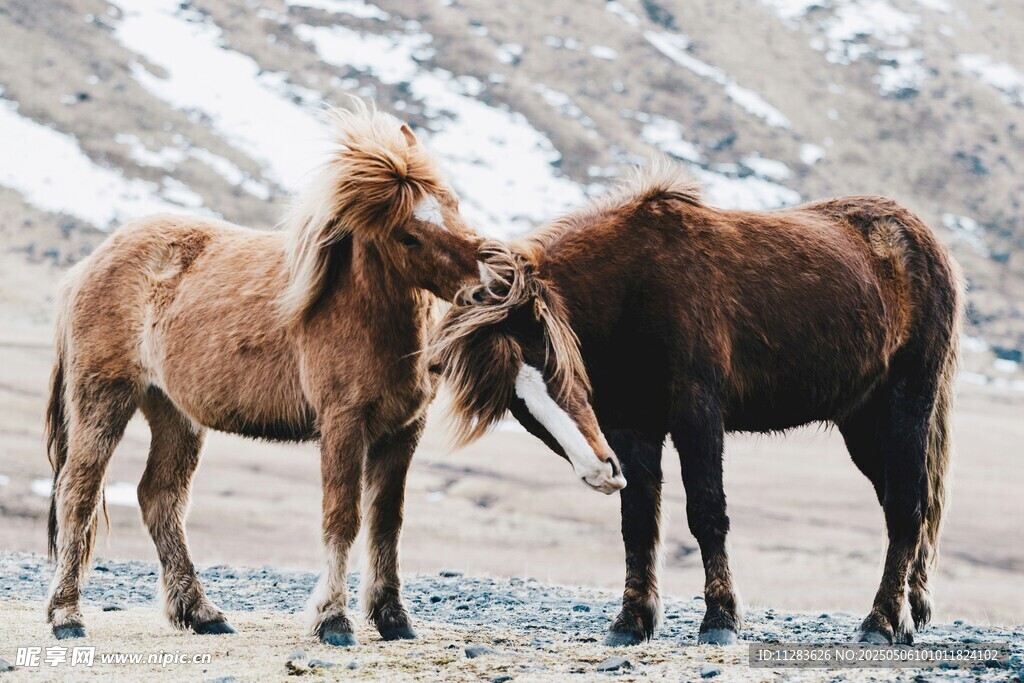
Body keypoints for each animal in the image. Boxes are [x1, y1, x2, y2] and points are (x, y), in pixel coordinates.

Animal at [43, 105, 489, 646]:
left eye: (452, 203)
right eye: (408, 233)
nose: (492, 281)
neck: (359, 308)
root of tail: (87, 265)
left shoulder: (403, 431)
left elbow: (387, 522)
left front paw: (393, 618)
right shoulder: (343, 424)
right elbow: (342, 518)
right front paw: (333, 620)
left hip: (173, 411)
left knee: (159, 497)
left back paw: (202, 613)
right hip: (104, 398)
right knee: (78, 493)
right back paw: (67, 617)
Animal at [429, 160, 963, 647]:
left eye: (553, 362)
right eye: (515, 403)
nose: (599, 472)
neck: (634, 286)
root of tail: (924, 241)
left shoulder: (697, 414)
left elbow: (706, 512)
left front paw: (720, 619)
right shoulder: (630, 427)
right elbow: (638, 522)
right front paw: (631, 621)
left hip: (905, 405)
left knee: (907, 507)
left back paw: (881, 622)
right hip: (862, 424)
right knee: (904, 506)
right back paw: (908, 615)